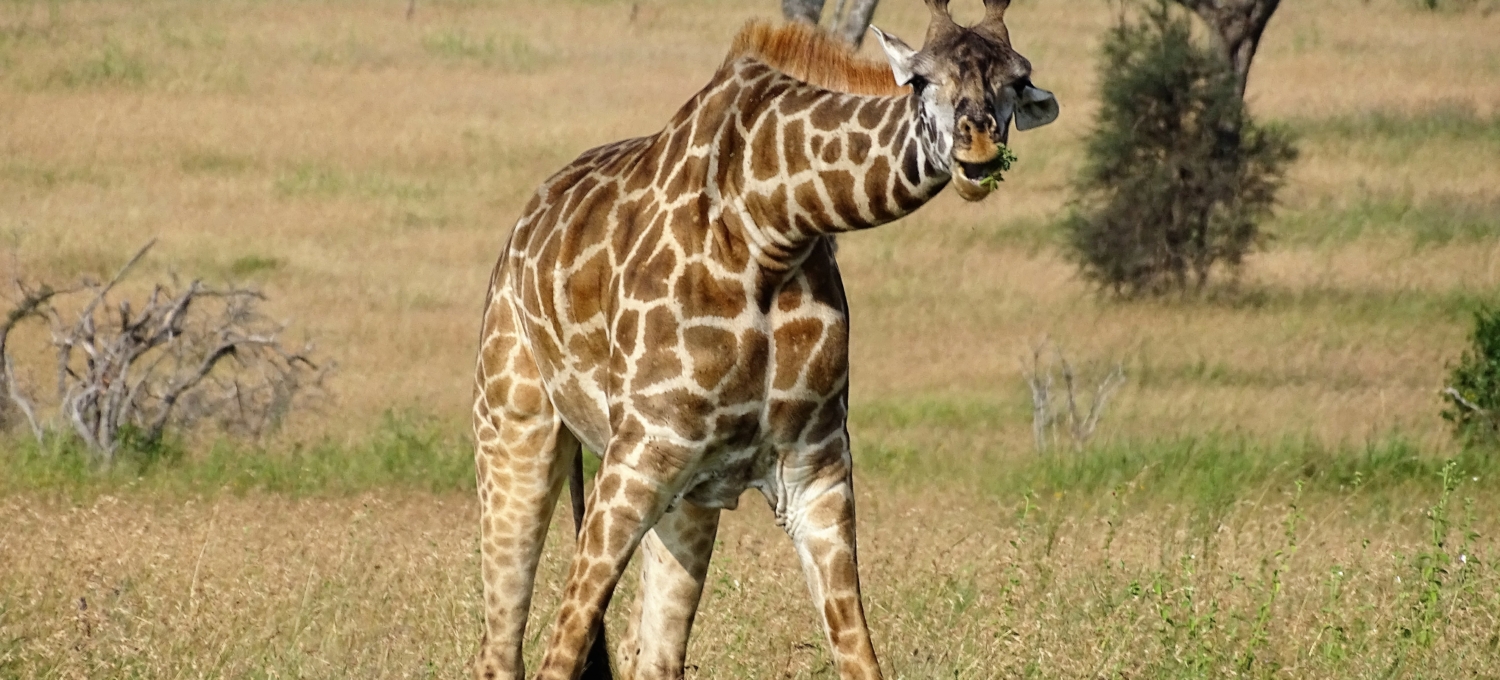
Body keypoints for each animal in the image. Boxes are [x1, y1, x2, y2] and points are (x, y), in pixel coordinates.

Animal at [468, 2, 1056, 675]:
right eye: (920, 80)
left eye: (1016, 80)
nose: (978, 149)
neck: (771, 227)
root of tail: (520, 230)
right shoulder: (640, 452)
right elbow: (561, 650)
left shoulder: (813, 471)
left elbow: (858, 655)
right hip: (515, 424)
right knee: (502, 646)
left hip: (687, 496)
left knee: (652, 653)